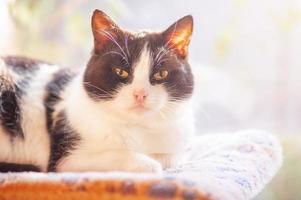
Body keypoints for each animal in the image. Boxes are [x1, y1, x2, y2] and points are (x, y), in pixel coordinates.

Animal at [0, 9, 193, 173]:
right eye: (121, 71)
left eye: (161, 74)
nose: (140, 94)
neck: (138, 129)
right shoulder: (66, 159)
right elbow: (118, 155)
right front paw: (148, 163)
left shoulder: (179, 147)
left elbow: (171, 157)